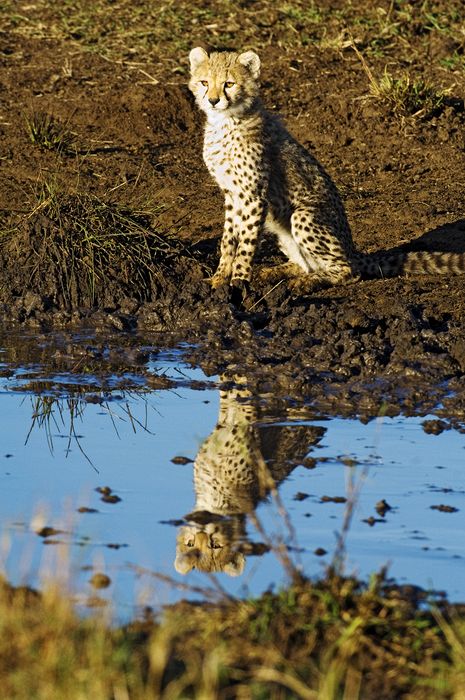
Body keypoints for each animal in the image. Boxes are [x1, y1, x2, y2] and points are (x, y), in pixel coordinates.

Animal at [188, 46, 465, 302]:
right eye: (204, 83)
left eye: (229, 84)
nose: (213, 100)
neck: (225, 122)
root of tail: (353, 252)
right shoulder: (232, 195)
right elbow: (228, 240)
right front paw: (219, 280)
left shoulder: (253, 196)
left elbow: (245, 243)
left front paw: (238, 283)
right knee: (307, 264)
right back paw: (276, 272)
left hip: (303, 215)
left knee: (348, 271)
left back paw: (304, 283)